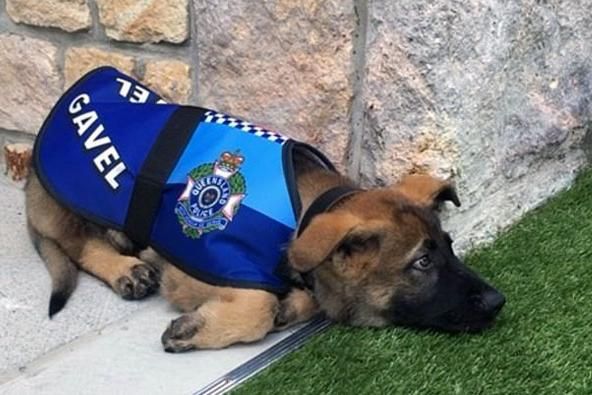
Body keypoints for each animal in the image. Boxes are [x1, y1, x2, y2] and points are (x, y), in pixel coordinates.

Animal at [23, 144, 504, 352]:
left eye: (450, 248)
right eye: (422, 262)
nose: (499, 301)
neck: (302, 213)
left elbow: (296, 299)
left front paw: (290, 306)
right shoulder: (191, 269)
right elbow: (257, 307)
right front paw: (195, 330)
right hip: (74, 206)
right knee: (79, 243)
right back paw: (126, 268)